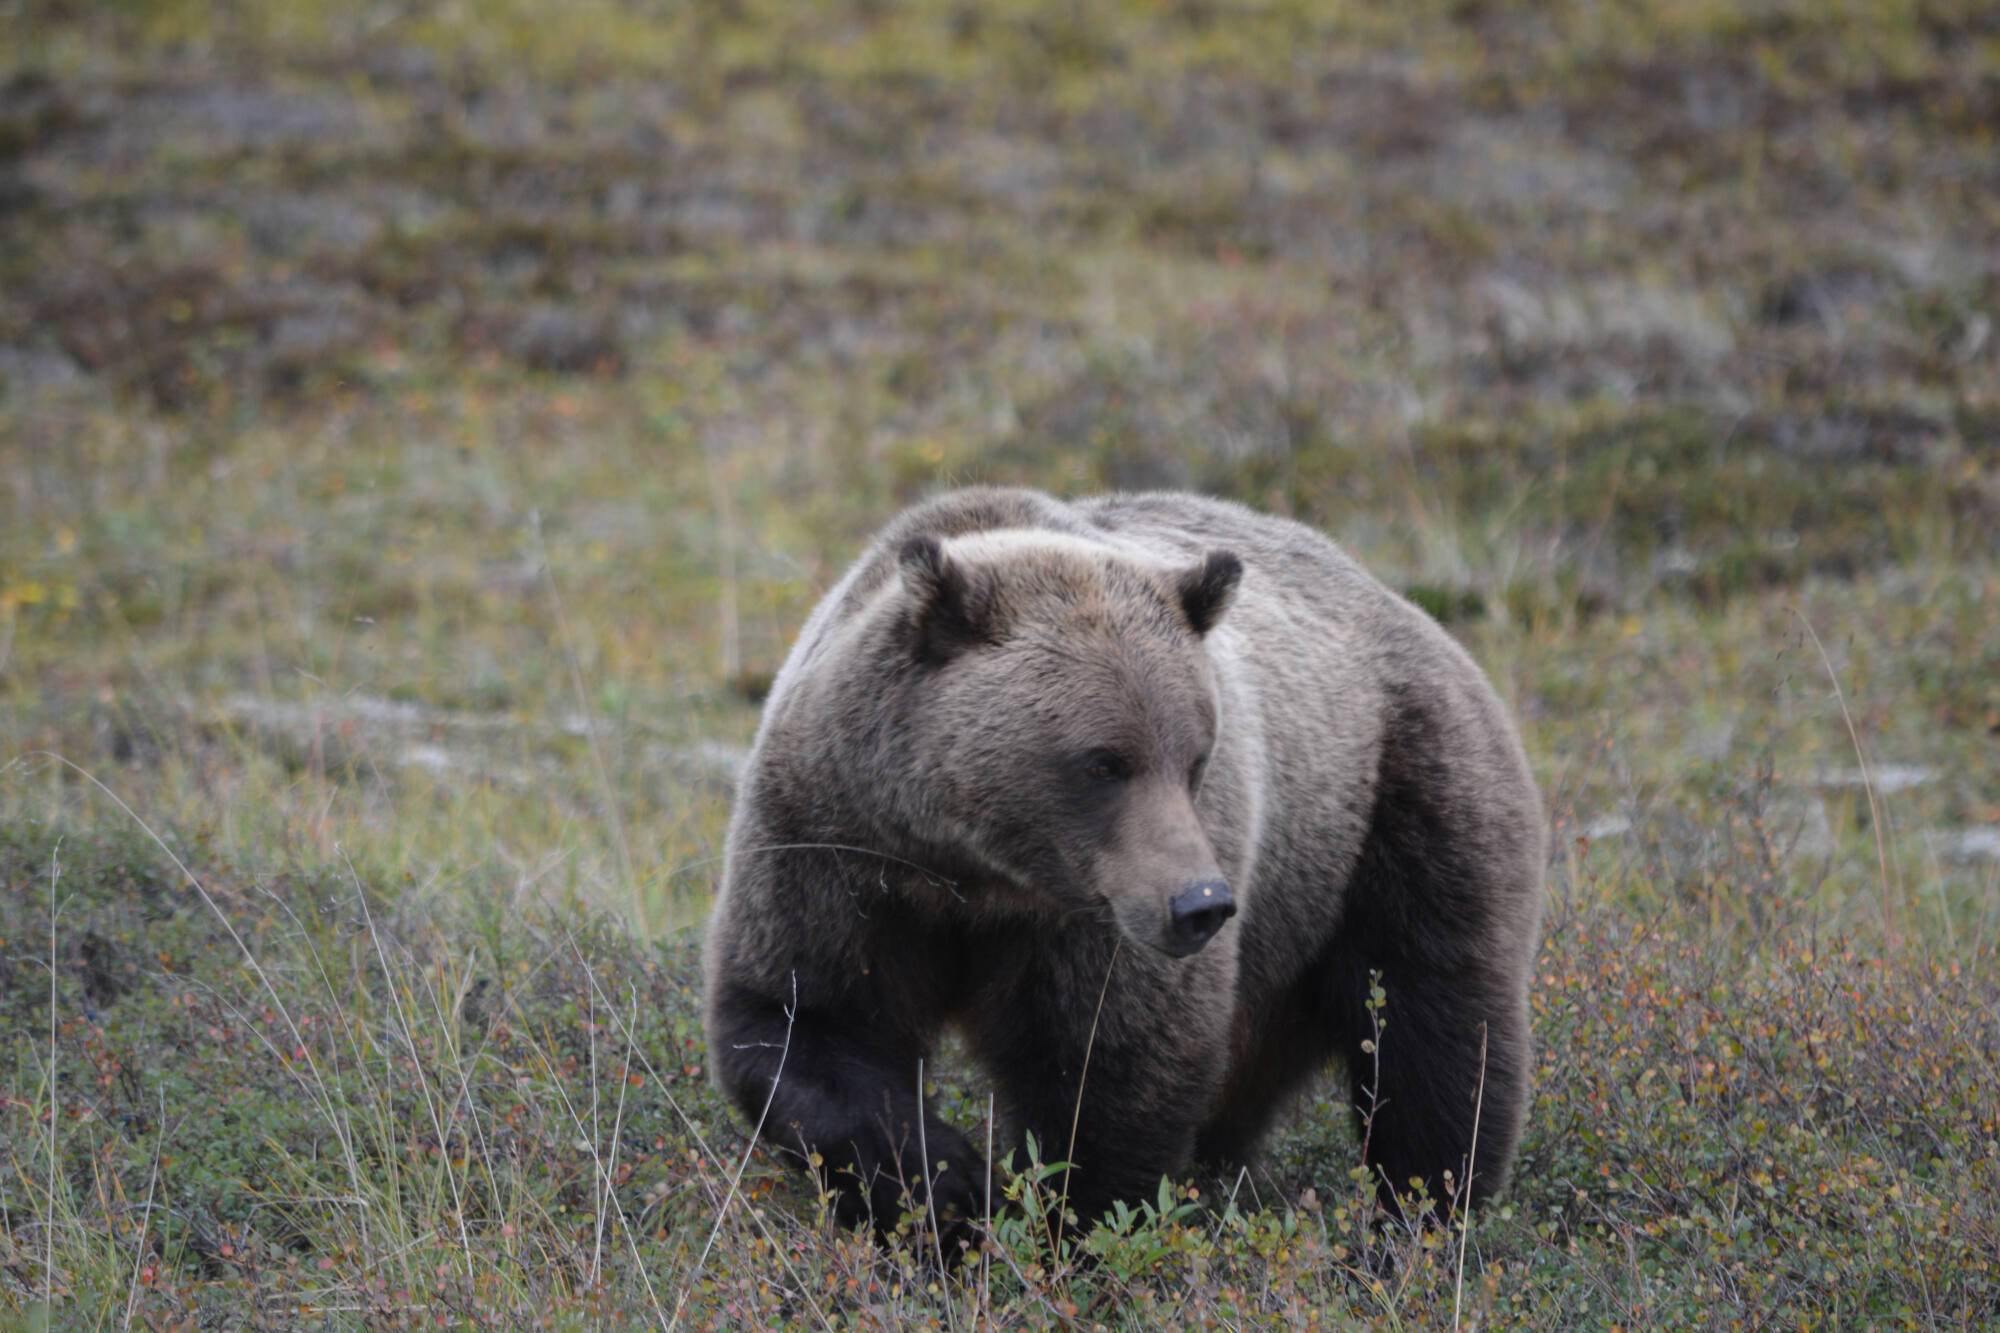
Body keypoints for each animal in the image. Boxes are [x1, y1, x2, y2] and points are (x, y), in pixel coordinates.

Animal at [704, 488, 1544, 1232]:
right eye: (1103, 761)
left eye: (1196, 756)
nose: (1201, 903)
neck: (973, 871)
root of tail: (1407, 607)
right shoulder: (837, 848)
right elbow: (803, 1022)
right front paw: (949, 1188)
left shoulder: (1093, 914)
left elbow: (1113, 1067)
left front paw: (1064, 1223)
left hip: (1394, 801)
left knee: (1432, 1022)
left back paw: (1414, 1221)